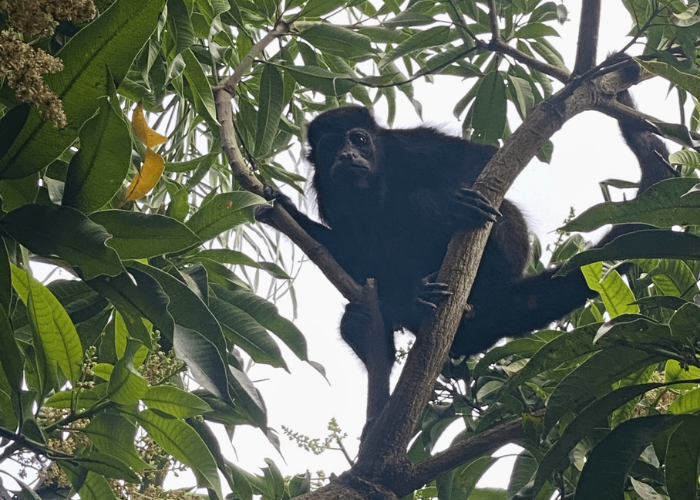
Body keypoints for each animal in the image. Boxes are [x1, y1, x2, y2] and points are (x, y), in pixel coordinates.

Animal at [258, 93, 680, 368]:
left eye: (358, 139)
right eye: (332, 147)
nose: (348, 155)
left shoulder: (408, 145)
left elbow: (483, 162)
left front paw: (457, 204)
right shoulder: (326, 191)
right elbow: (351, 249)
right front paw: (283, 207)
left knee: (447, 205)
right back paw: (400, 306)